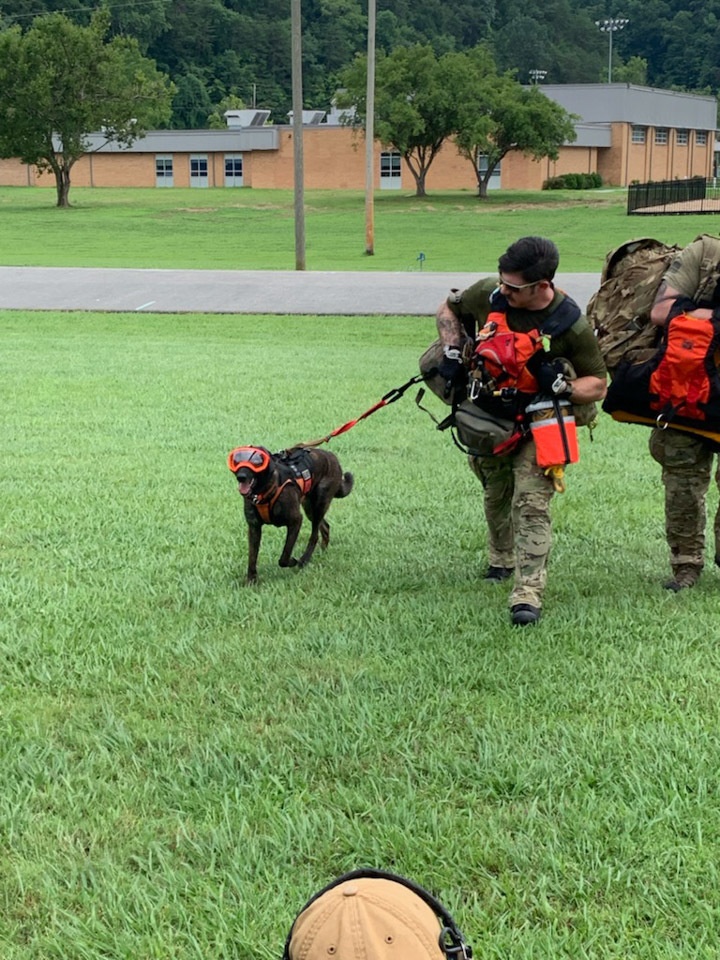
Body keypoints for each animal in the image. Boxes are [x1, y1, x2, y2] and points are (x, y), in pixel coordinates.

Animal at [228, 444, 354, 584]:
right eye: (236, 460)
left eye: (257, 461)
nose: (241, 477)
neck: (265, 491)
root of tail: (333, 457)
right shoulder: (254, 527)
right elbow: (252, 557)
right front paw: (251, 580)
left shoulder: (296, 521)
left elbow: (284, 556)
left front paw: (292, 561)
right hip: (309, 508)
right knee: (325, 527)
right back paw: (322, 551)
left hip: (319, 503)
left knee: (314, 535)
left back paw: (304, 560)